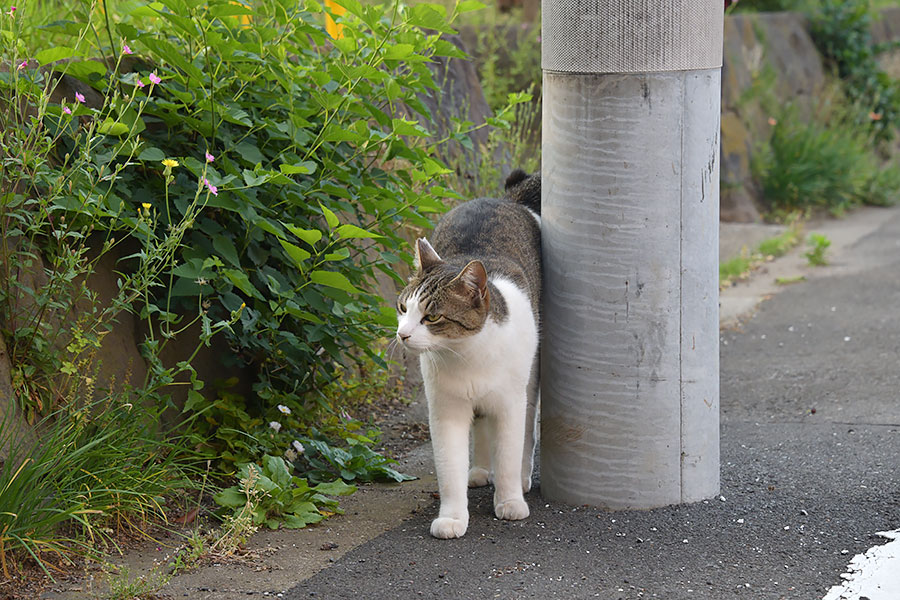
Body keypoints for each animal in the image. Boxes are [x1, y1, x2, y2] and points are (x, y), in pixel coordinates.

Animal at [396, 170, 540, 540]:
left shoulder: (509, 402)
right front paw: (452, 517)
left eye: (432, 317)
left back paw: (521, 479)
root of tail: (502, 199)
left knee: (525, 431)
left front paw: (509, 501)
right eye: (403, 308)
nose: (402, 334)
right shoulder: (446, 408)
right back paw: (479, 470)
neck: (466, 355)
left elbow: (509, 452)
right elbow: (450, 467)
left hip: (531, 378)